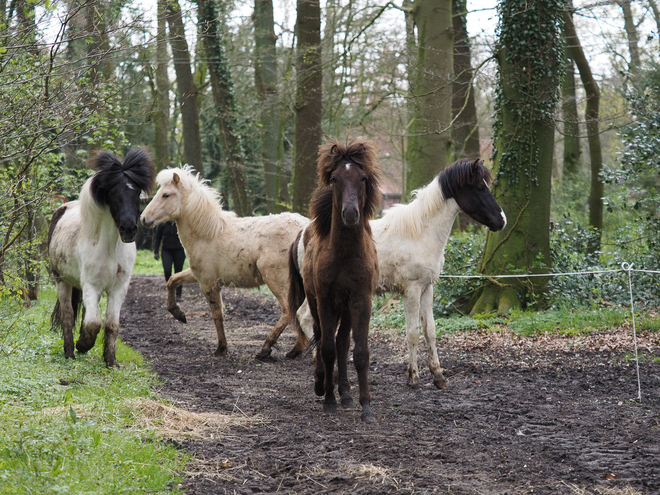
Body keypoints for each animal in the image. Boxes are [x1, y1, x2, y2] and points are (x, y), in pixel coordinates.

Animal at [49, 149, 155, 366]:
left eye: (136, 194)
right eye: (113, 193)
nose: (128, 229)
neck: (110, 249)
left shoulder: (119, 288)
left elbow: (111, 324)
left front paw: (111, 361)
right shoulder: (92, 285)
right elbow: (93, 323)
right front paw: (83, 345)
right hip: (62, 281)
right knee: (68, 316)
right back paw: (70, 352)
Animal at [141, 167, 310, 360]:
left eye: (166, 195)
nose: (144, 218)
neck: (208, 233)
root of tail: (305, 229)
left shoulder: (208, 283)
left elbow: (217, 315)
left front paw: (221, 348)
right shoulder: (197, 275)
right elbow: (172, 281)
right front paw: (179, 314)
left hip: (277, 281)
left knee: (290, 311)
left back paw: (266, 348)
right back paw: (295, 350)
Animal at [288, 138, 382, 424]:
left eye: (362, 178)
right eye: (335, 179)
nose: (350, 214)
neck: (345, 255)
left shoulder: (361, 300)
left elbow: (359, 352)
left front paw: (365, 406)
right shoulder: (326, 300)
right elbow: (327, 348)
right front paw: (329, 399)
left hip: (347, 307)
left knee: (342, 342)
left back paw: (345, 392)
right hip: (317, 301)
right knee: (322, 337)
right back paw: (323, 384)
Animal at [292, 157, 508, 390]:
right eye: (479, 188)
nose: (502, 221)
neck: (420, 232)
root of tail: (305, 233)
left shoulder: (427, 288)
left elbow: (430, 332)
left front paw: (438, 376)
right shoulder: (411, 290)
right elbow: (413, 333)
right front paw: (413, 377)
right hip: (319, 292)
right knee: (306, 318)